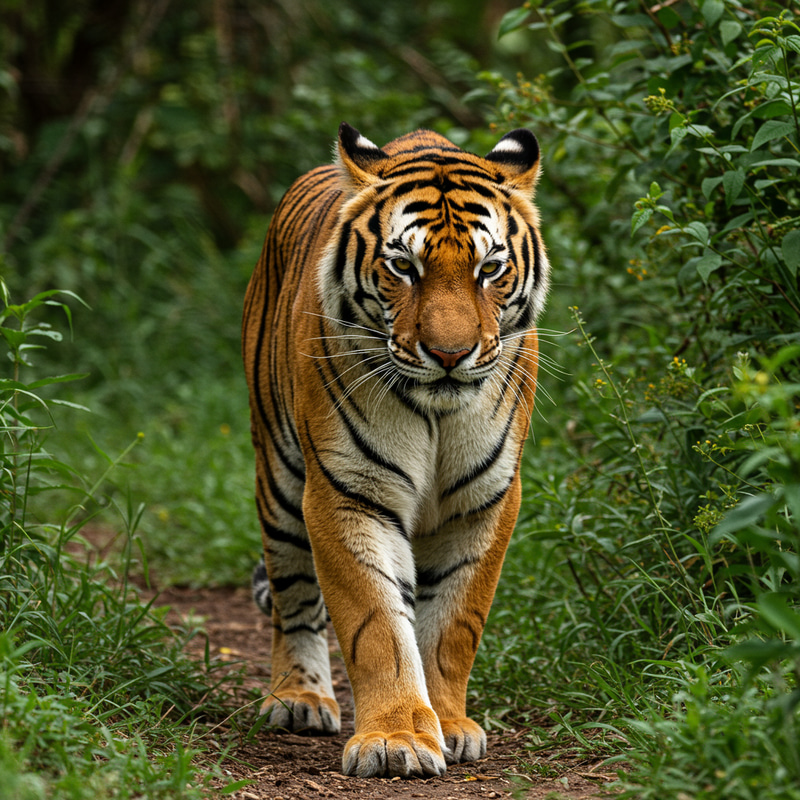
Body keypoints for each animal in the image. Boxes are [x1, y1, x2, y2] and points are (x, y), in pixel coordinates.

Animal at [241, 122, 549, 779]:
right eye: (403, 266)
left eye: (490, 267)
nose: (451, 354)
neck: (437, 412)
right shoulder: (347, 494)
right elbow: (378, 623)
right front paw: (396, 739)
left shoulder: (484, 503)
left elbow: (452, 627)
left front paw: (449, 725)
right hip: (277, 475)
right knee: (292, 594)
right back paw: (299, 697)